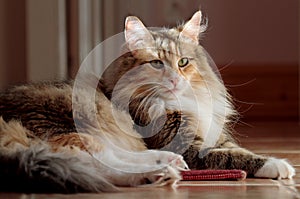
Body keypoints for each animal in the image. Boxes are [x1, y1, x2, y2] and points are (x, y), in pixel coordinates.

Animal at [0, 10, 296, 193]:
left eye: (183, 62)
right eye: (156, 63)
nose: (175, 79)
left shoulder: (213, 136)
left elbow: (238, 150)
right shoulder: (186, 144)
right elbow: (236, 157)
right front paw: (278, 165)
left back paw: (167, 165)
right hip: (73, 125)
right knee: (92, 162)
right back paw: (160, 172)